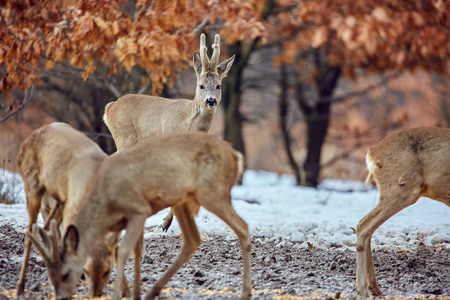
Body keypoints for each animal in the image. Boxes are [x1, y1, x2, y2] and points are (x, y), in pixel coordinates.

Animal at [14, 123, 129, 298]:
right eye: (86, 270)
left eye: (107, 271)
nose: (95, 294)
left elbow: (116, 250)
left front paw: (127, 290)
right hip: (31, 184)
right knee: (30, 232)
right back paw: (20, 287)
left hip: (59, 200)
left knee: (46, 227)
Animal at [28, 131, 251, 300]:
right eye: (50, 276)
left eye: (66, 274)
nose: (61, 297)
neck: (106, 204)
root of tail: (237, 157)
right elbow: (130, 251)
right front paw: (133, 293)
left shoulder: (138, 210)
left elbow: (124, 251)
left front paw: (119, 295)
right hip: (182, 200)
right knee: (192, 240)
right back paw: (152, 292)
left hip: (211, 192)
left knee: (243, 227)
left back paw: (245, 293)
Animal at [103, 32, 234, 231]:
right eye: (201, 85)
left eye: (218, 86)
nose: (211, 100)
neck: (188, 122)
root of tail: (109, 108)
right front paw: (165, 222)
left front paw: (167, 222)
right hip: (125, 137)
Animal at [356, 127, 448, 298]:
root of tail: (372, 152)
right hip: (401, 189)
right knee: (364, 225)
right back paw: (363, 290)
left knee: (365, 226)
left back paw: (374, 288)